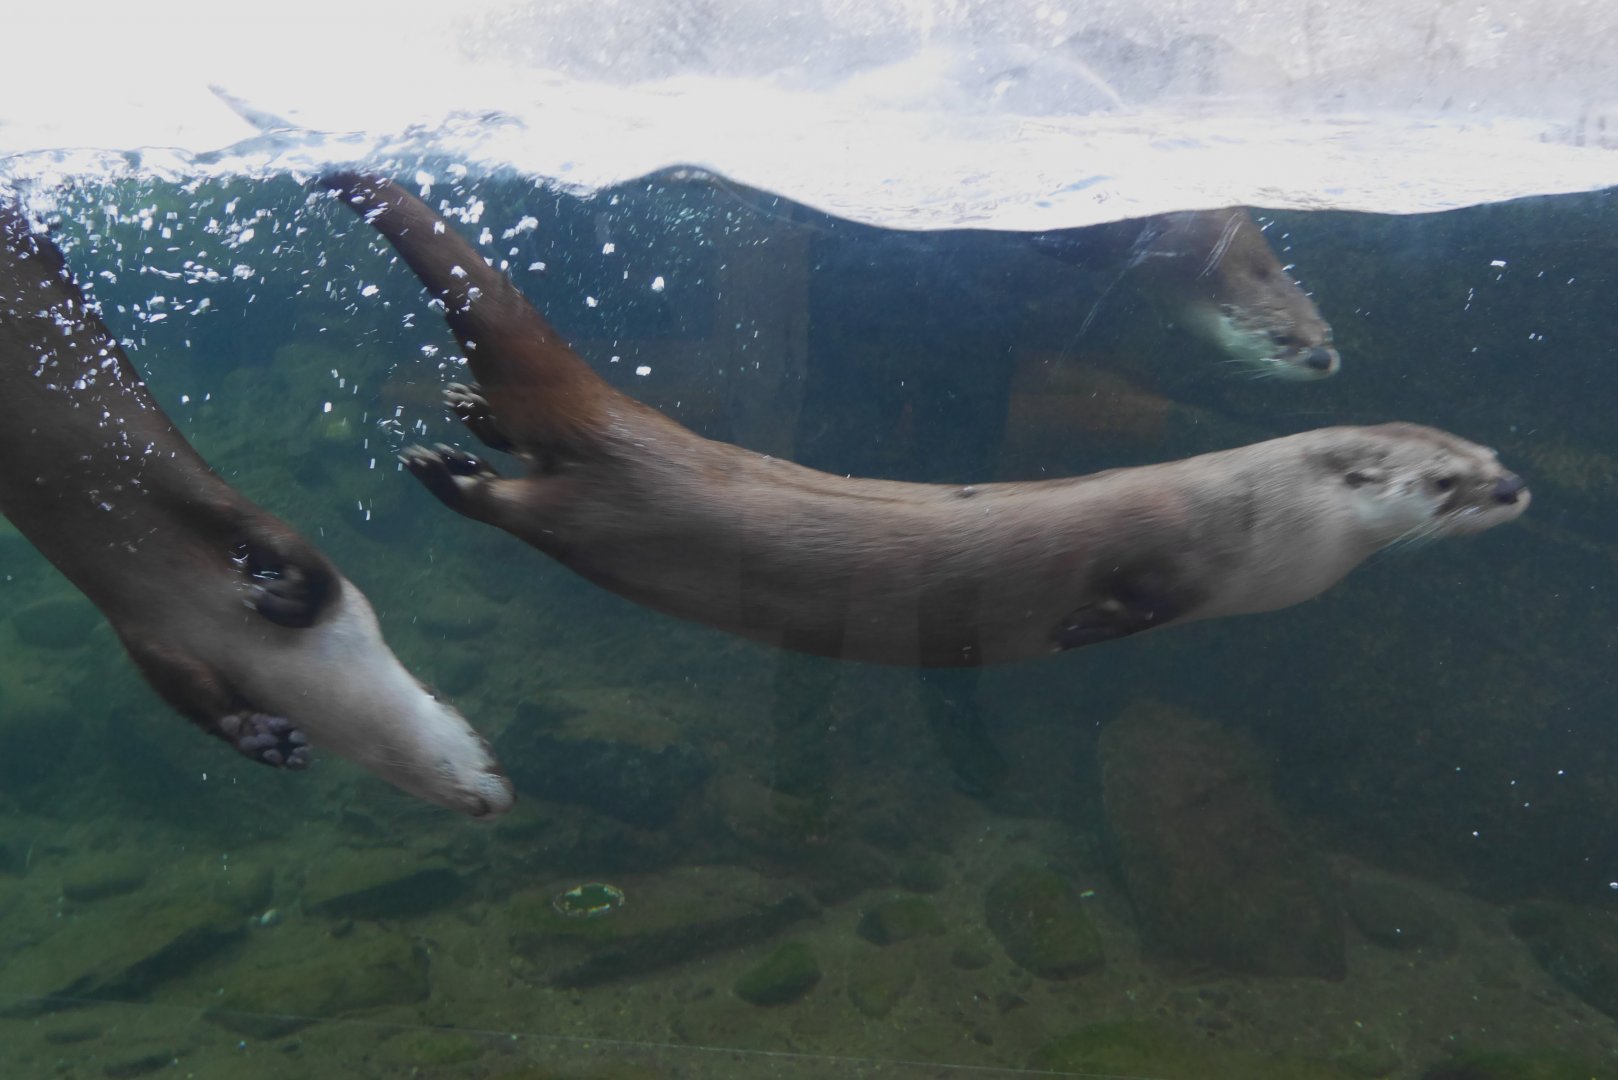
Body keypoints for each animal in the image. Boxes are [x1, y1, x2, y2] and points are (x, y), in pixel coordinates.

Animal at [0, 199, 512, 817]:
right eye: (486, 746)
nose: (507, 792)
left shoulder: (150, 628)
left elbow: (189, 692)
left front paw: (264, 737)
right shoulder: (215, 507)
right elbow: (302, 558)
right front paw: (285, 596)